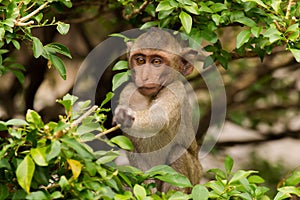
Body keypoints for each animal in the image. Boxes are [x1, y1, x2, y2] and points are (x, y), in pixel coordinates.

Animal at [113, 28, 203, 192]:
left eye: (156, 62)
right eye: (140, 60)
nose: (145, 77)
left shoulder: (176, 90)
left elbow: (160, 118)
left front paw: (127, 116)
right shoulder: (129, 91)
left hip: (195, 177)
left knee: (177, 152)